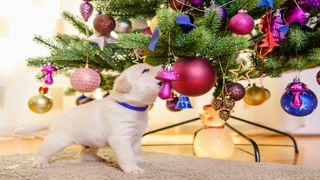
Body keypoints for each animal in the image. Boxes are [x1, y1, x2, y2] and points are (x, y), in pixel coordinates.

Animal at [14, 63, 161, 174]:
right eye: (145, 70)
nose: (161, 66)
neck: (132, 106)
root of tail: (56, 118)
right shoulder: (120, 138)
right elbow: (127, 155)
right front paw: (133, 169)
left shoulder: (136, 137)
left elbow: (135, 151)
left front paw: (138, 160)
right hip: (58, 140)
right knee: (42, 150)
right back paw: (39, 162)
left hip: (92, 140)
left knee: (85, 154)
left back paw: (98, 158)